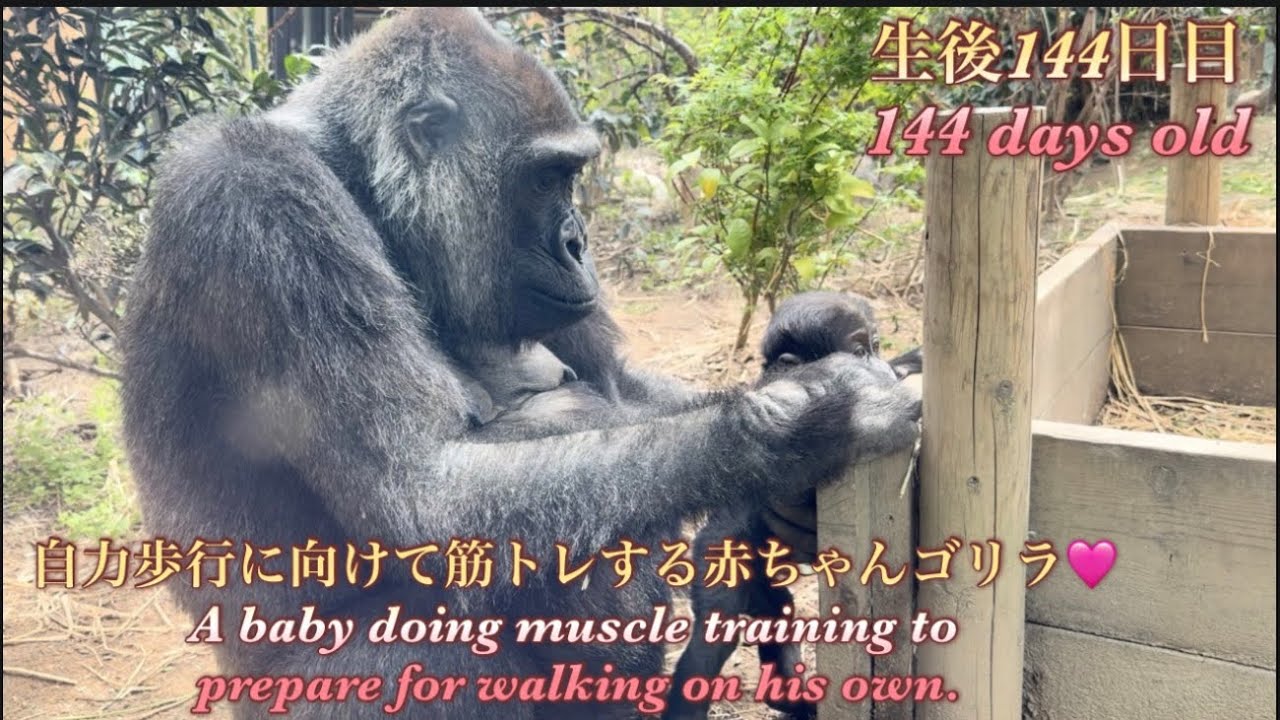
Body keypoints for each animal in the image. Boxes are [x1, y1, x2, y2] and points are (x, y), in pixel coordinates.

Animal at [665, 291, 922, 720]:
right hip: (717, 557)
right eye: (858, 351)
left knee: (778, 609)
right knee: (713, 635)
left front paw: (909, 364)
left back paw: (789, 697)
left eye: (876, 346)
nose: (879, 365)